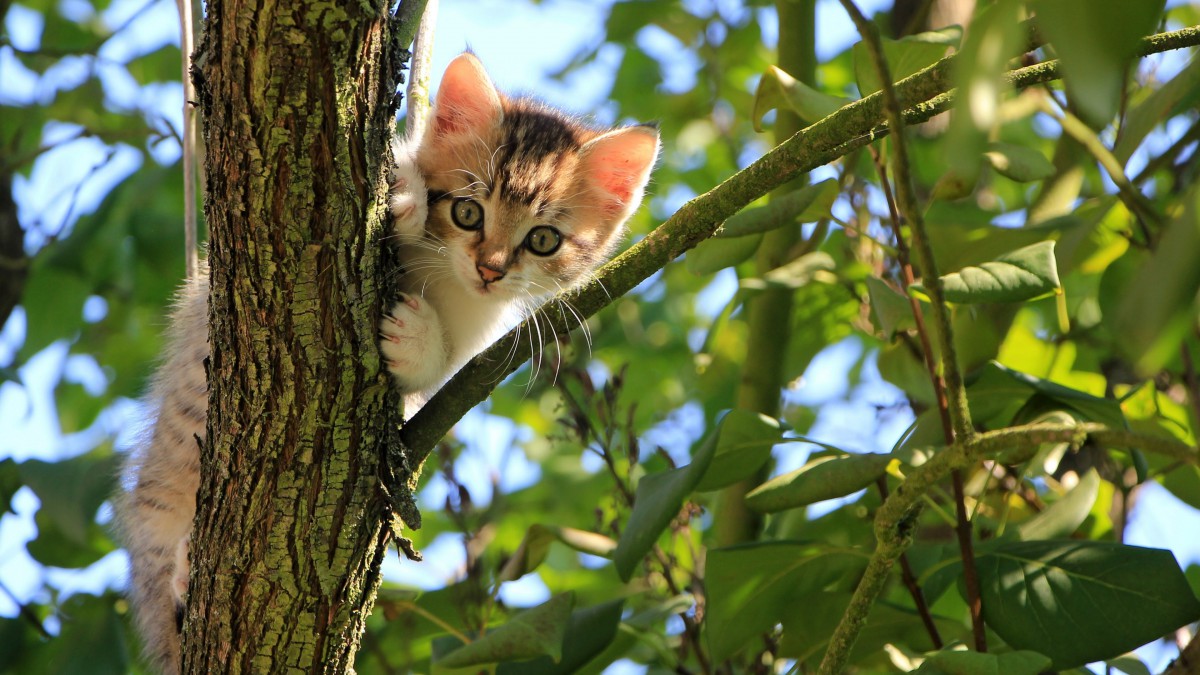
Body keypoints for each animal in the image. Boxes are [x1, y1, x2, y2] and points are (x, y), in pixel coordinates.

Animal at [118, 53, 662, 672]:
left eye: (543, 239)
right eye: (468, 211)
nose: (491, 269)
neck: (445, 275)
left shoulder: (474, 338)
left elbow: (439, 370)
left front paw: (417, 338)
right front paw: (405, 196)